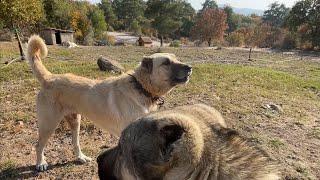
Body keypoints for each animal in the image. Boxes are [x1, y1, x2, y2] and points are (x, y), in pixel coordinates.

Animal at [26, 35, 191, 172]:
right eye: (166, 62)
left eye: (177, 58)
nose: (190, 68)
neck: (140, 87)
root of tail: (49, 78)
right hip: (49, 124)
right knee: (38, 145)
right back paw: (40, 163)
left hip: (75, 122)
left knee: (75, 142)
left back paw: (80, 157)